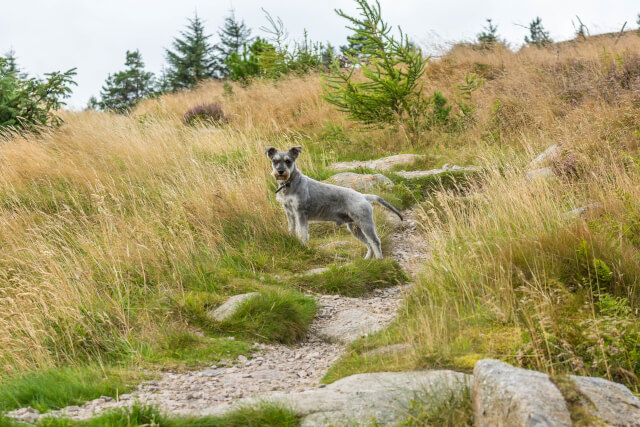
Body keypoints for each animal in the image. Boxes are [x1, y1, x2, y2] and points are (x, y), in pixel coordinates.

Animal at [264, 145, 400, 260]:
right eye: (275, 161)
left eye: (288, 161)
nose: (280, 171)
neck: (289, 184)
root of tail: (363, 196)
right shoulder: (289, 212)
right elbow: (292, 229)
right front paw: (293, 240)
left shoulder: (300, 213)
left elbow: (302, 233)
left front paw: (302, 246)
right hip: (355, 228)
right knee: (368, 243)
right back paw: (367, 260)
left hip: (365, 224)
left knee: (375, 241)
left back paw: (379, 260)